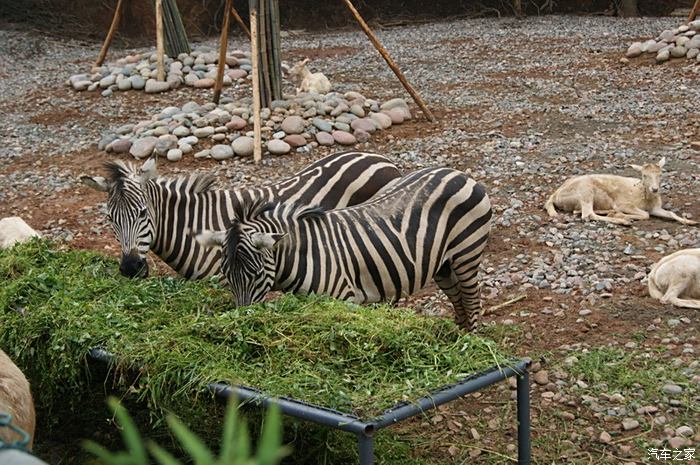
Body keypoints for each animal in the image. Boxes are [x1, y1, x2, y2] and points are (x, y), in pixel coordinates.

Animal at [196, 167, 492, 330]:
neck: (305, 253)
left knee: (472, 298)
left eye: (256, 274)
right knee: (457, 297)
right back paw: (456, 337)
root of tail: (457, 173)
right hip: (442, 263)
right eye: (226, 275)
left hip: (466, 252)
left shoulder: (344, 298)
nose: (243, 320)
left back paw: (471, 342)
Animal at [544, 157, 696, 226]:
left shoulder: (655, 208)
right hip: (585, 190)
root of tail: (555, 196)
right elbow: (645, 215)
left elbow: (670, 213)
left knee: (581, 212)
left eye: (660, 174)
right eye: (644, 175)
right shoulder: (625, 204)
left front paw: (689, 222)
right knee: (588, 215)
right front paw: (624, 215)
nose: (654, 189)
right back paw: (623, 219)